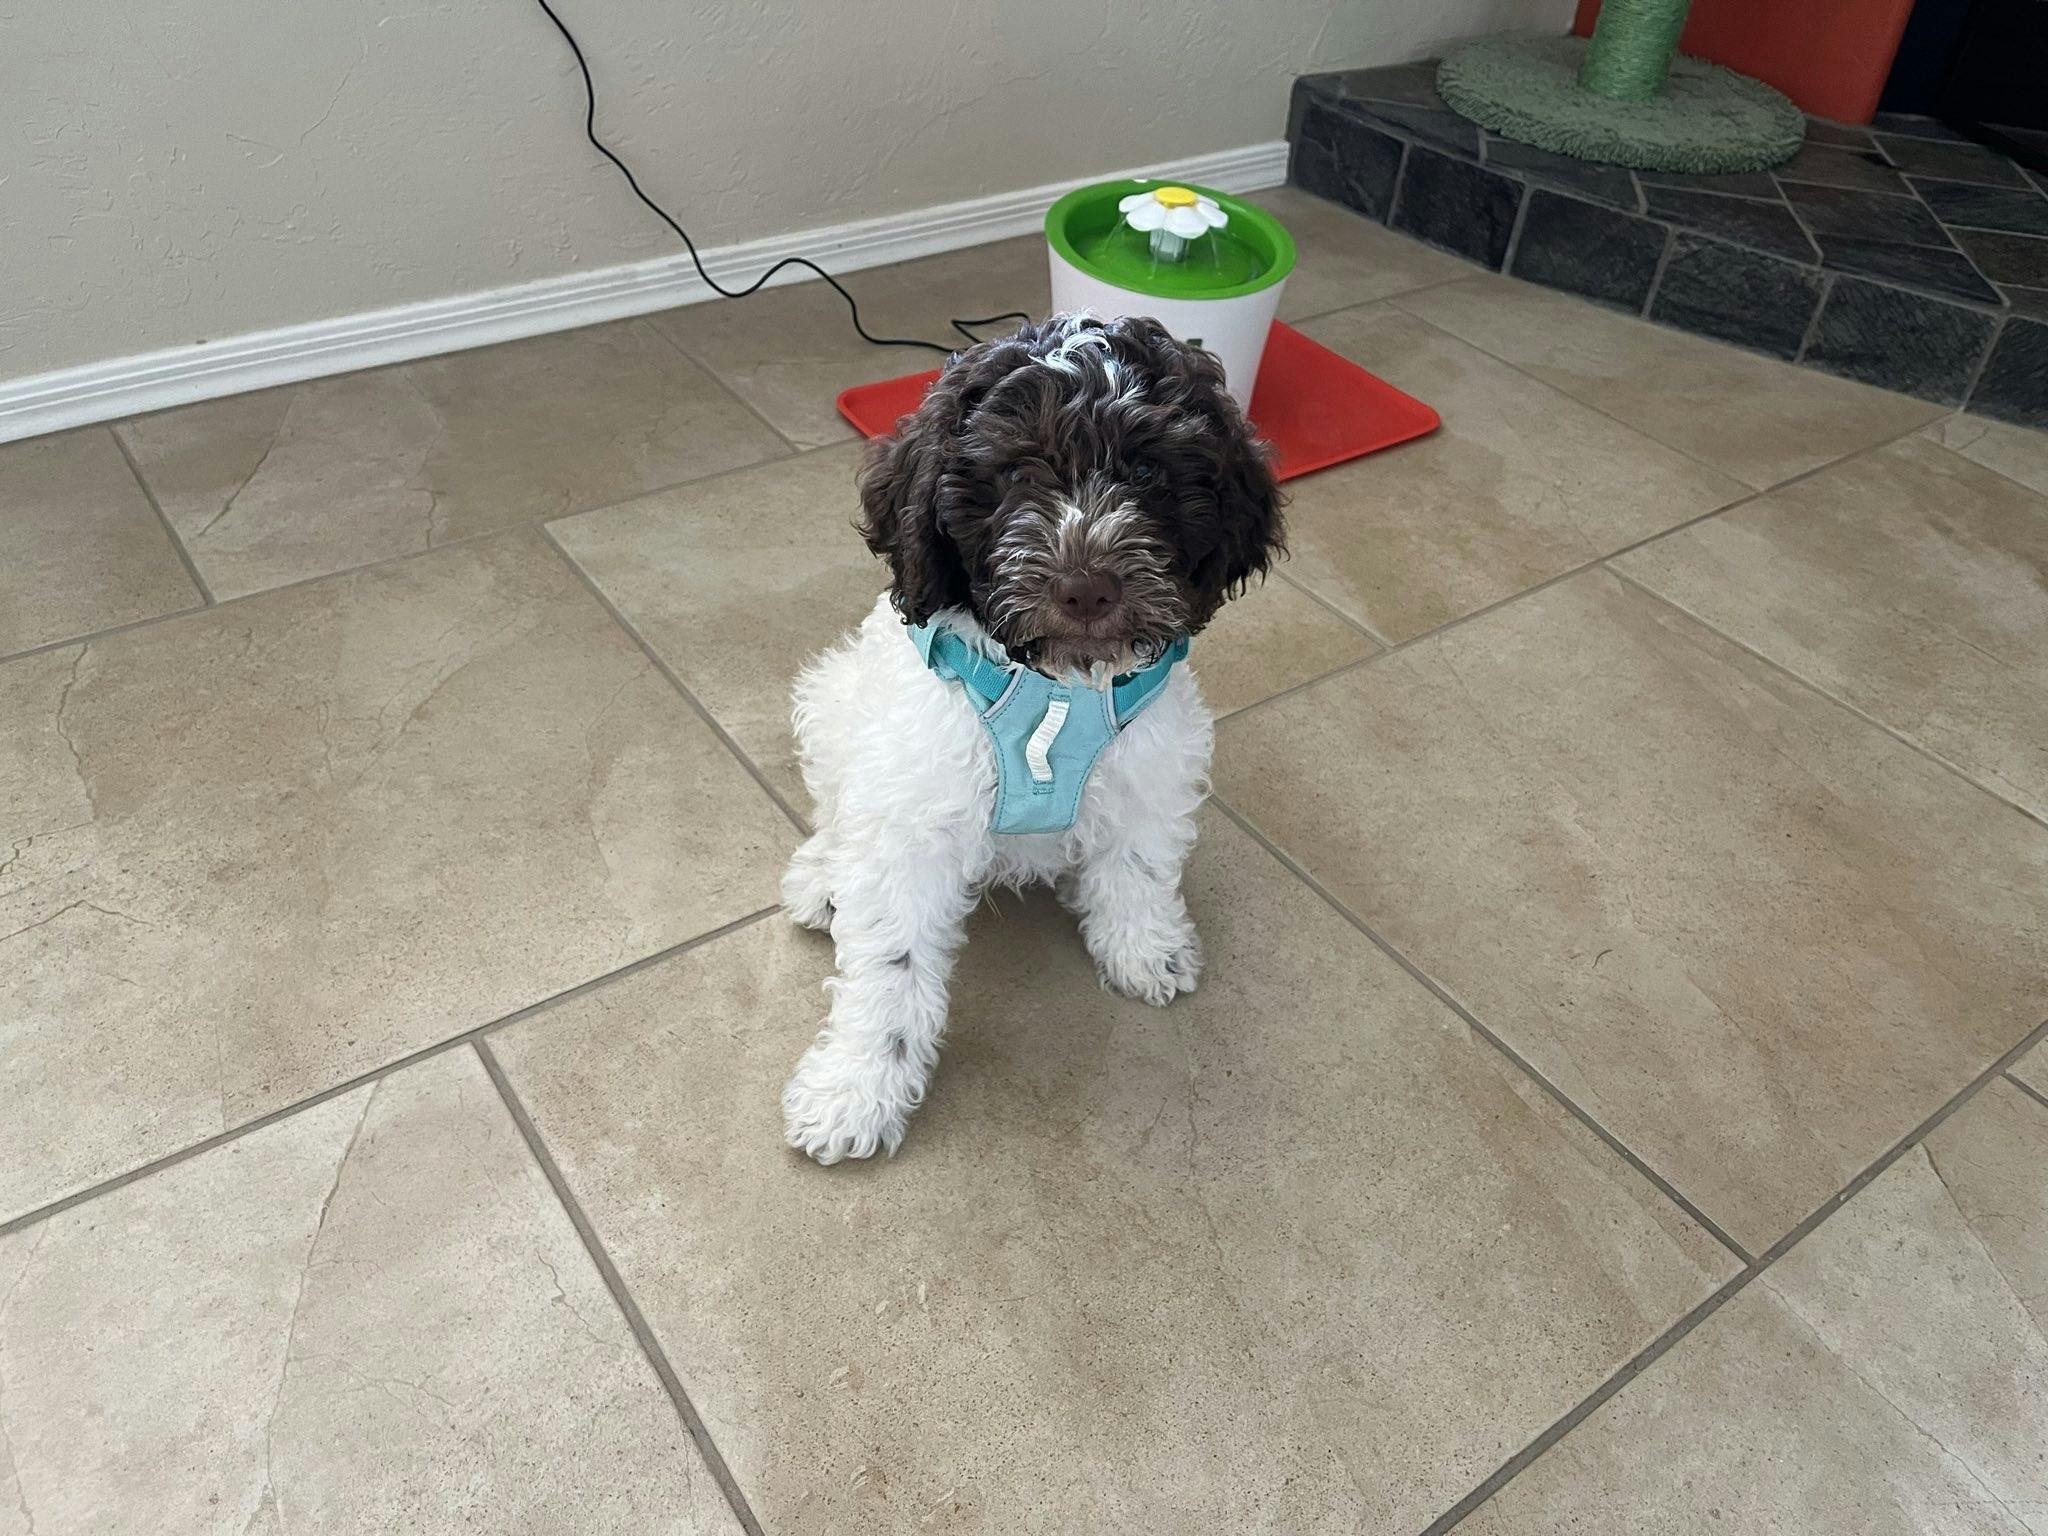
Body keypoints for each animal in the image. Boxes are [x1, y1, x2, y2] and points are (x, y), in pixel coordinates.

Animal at [778, 315, 1277, 1163]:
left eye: (1148, 469)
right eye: (1016, 472)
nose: (1087, 588)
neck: (1057, 687)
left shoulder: (1151, 770)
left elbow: (1139, 867)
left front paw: (1143, 946)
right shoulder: (913, 818)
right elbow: (891, 966)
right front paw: (858, 1089)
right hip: (834, 700)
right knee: (836, 811)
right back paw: (822, 877)